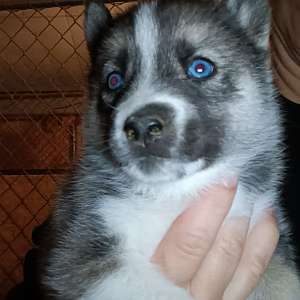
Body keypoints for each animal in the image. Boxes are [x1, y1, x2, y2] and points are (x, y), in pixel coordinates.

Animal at [41, 0, 300, 298]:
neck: (174, 195)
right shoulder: (83, 243)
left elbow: (285, 281)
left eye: (200, 68)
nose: (142, 127)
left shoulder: (264, 233)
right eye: (114, 80)